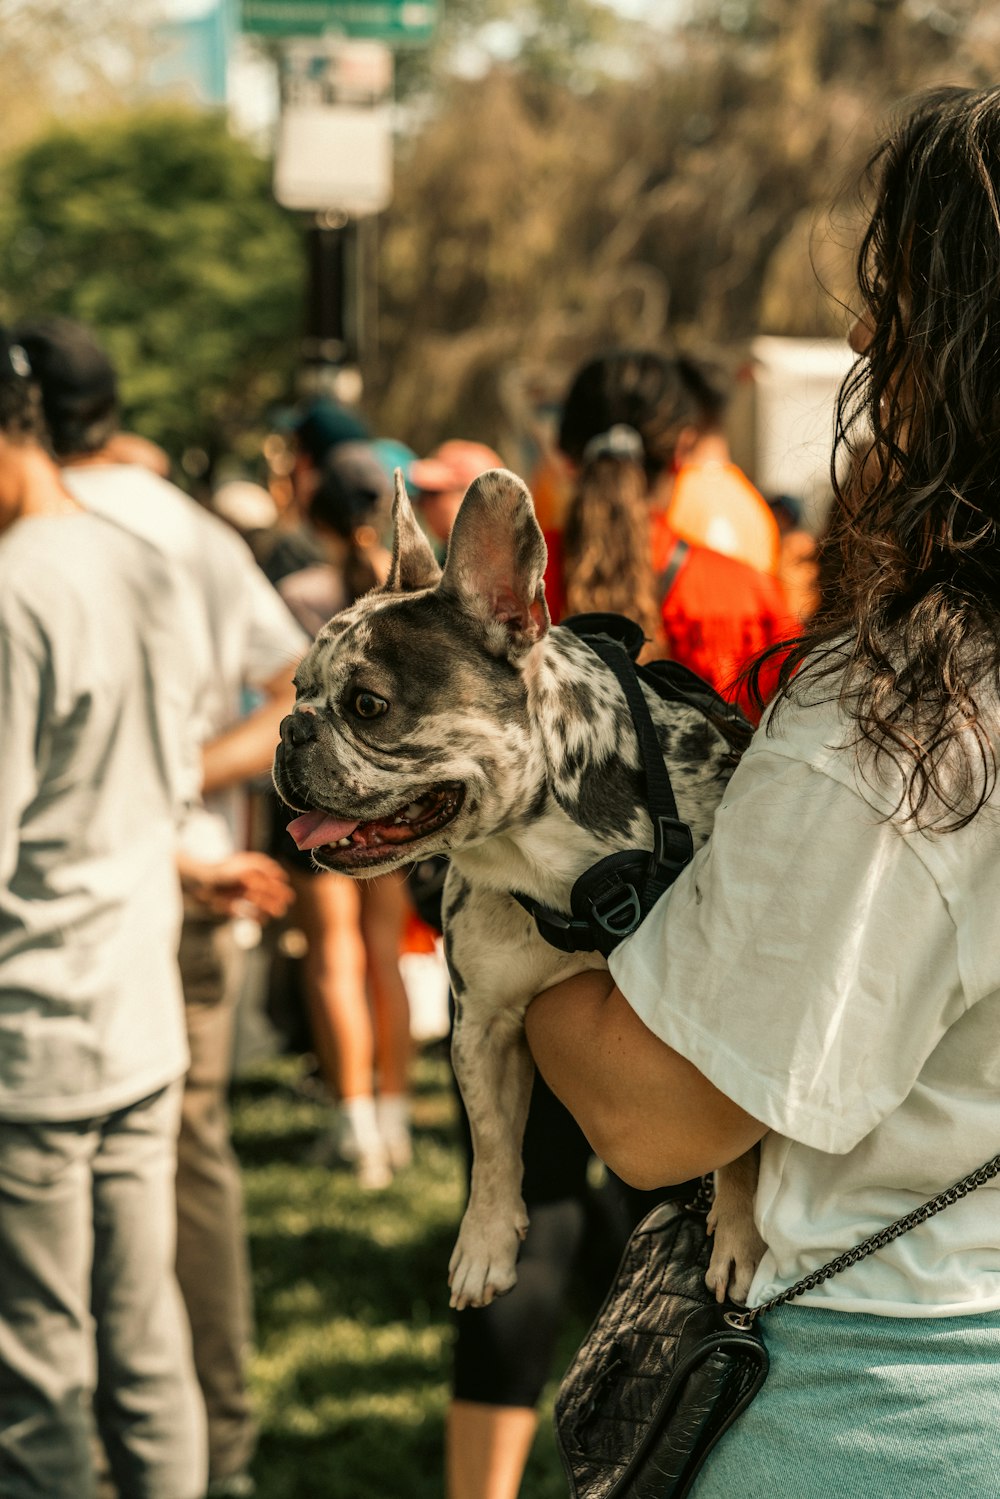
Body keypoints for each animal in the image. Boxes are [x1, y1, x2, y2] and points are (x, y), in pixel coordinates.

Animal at [274, 467, 767, 1313]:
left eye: (367, 704)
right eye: (300, 688)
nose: (288, 729)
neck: (550, 859)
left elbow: (742, 1150)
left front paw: (738, 1233)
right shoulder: (483, 1024)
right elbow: (493, 1141)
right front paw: (484, 1244)